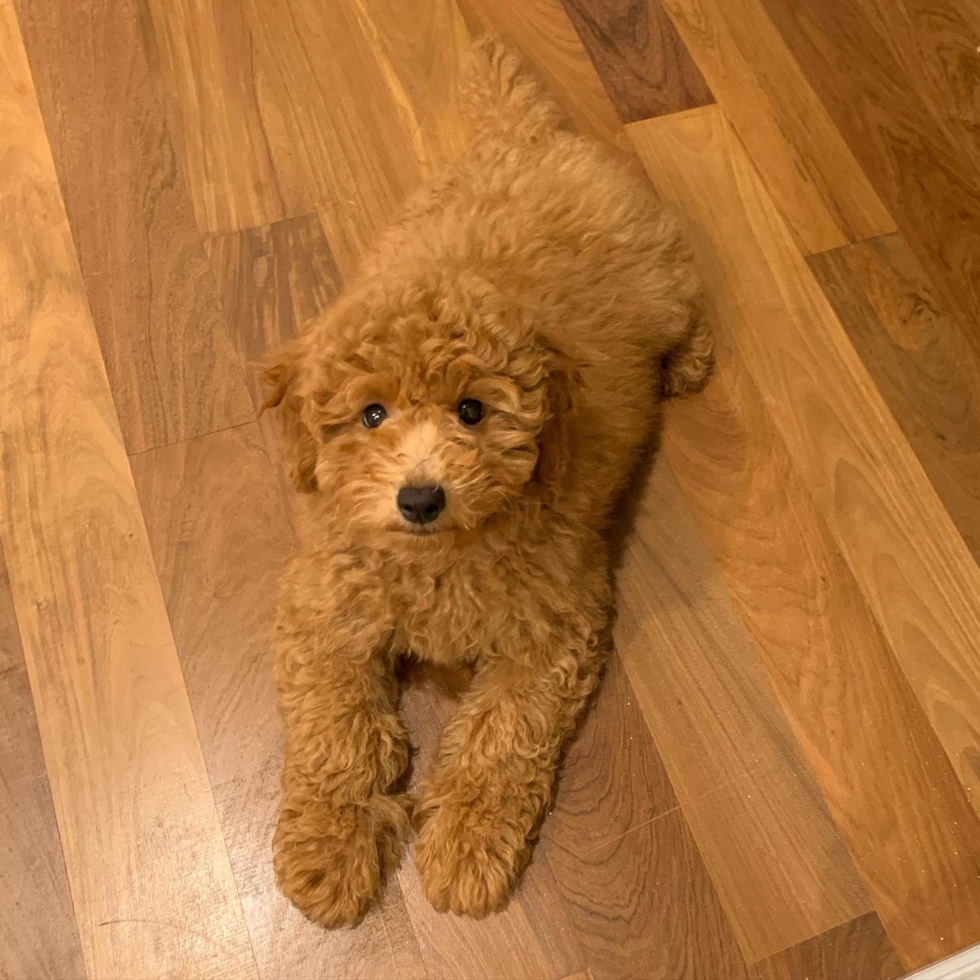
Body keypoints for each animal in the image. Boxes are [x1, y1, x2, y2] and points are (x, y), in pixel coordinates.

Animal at [264, 38, 712, 928]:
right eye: (371, 414)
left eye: (472, 410)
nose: (420, 497)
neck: (441, 555)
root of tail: (528, 141)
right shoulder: (323, 607)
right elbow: (336, 732)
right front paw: (327, 852)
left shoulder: (554, 626)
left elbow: (500, 738)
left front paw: (466, 848)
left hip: (667, 279)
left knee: (688, 311)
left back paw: (686, 363)